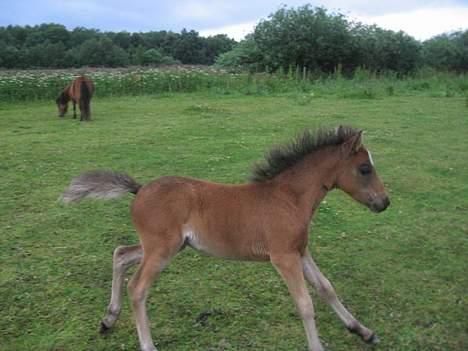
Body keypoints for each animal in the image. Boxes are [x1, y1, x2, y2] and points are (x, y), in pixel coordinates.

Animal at [62, 126, 392, 351]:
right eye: (365, 168)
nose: (385, 202)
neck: (289, 199)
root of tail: (140, 189)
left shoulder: (300, 251)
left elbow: (326, 289)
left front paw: (363, 331)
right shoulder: (283, 257)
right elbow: (305, 304)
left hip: (165, 246)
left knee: (120, 254)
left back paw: (108, 320)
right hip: (161, 250)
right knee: (138, 288)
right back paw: (147, 344)